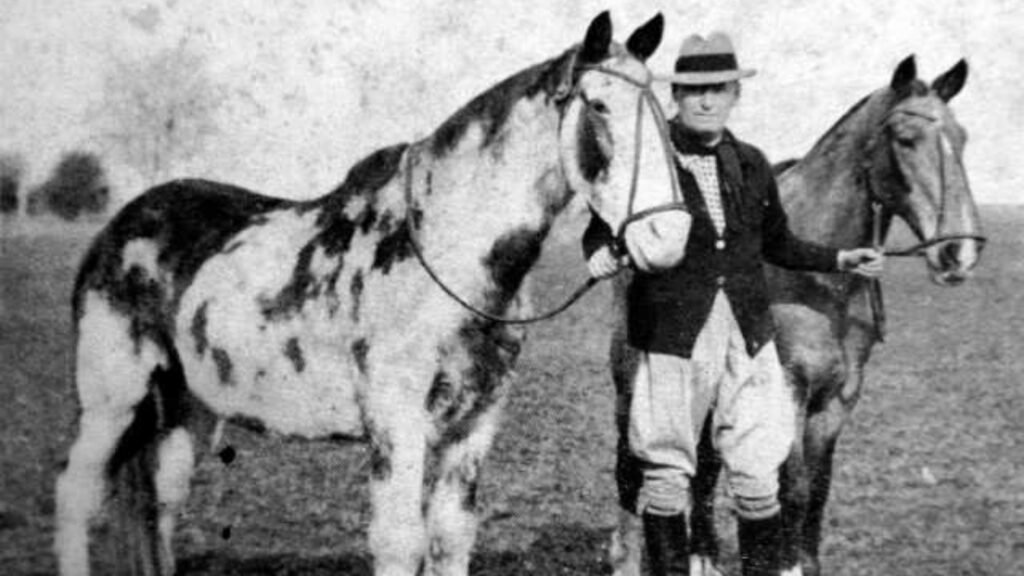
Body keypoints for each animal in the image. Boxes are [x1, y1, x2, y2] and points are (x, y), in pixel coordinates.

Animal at [53, 11, 695, 576]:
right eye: (600, 106)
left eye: (663, 116)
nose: (668, 236)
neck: (443, 251)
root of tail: (118, 228)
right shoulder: (396, 417)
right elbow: (398, 542)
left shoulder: (475, 423)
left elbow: (450, 538)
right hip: (115, 399)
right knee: (76, 493)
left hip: (191, 407)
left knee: (159, 507)